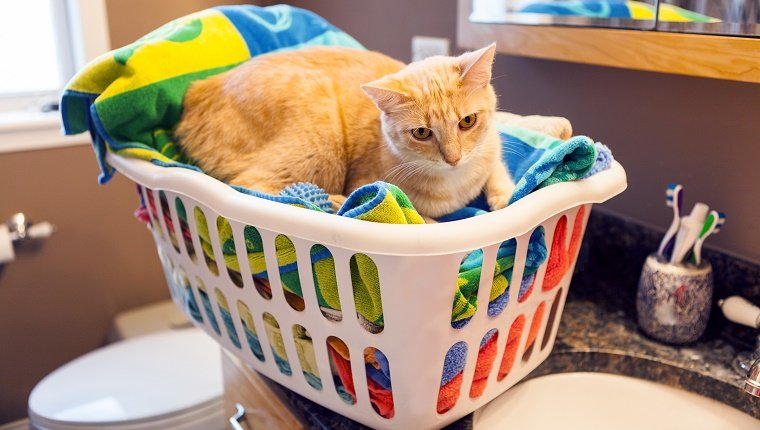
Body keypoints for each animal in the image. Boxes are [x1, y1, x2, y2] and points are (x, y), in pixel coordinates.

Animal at [177, 45, 568, 218]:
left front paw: (505, 196)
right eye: (422, 133)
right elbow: (420, 218)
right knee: (256, 187)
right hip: (319, 132)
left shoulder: (491, 145)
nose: (454, 158)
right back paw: (331, 203)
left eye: (467, 122)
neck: (453, 182)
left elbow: (496, 168)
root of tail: (199, 90)